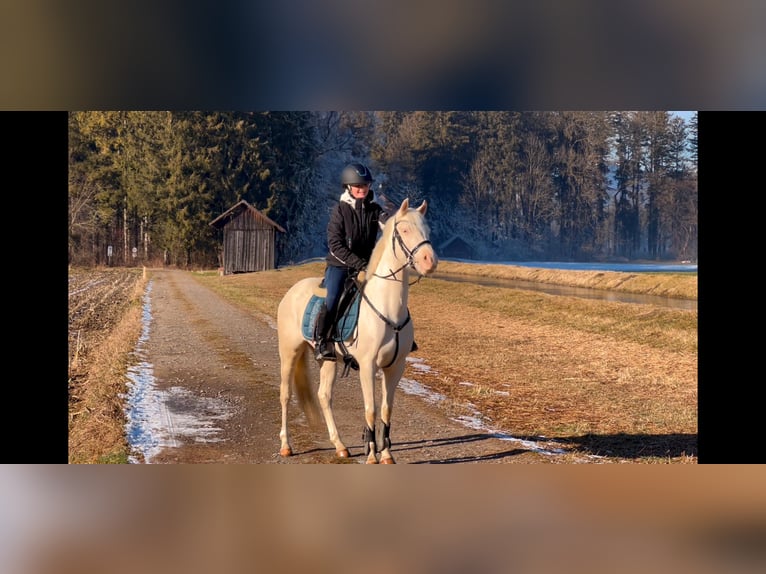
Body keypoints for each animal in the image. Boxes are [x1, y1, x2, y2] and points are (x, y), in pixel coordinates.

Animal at [280, 200, 438, 466]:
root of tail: (292, 291)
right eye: (405, 230)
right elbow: (370, 409)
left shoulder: (395, 367)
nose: (430, 261)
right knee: (285, 394)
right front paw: (372, 454)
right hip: (289, 353)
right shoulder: (367, 366)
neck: (389, 308)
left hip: (329, 360)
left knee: (324, 396)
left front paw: (386, 454)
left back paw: (340, 446)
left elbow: (386, 410)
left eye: (427, 228)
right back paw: (285, 446)